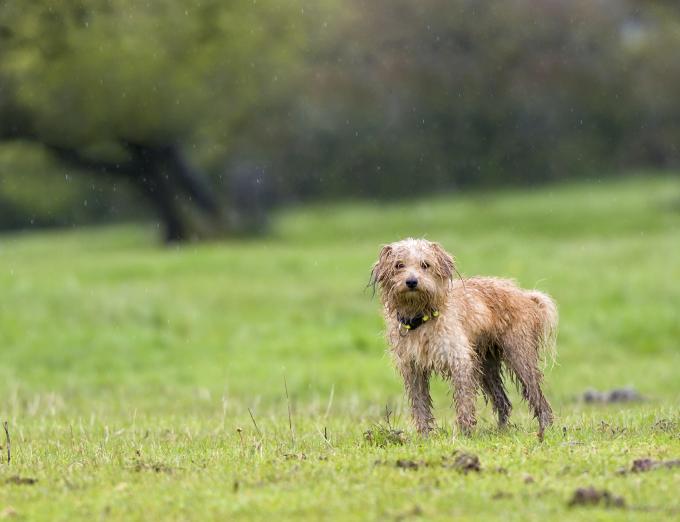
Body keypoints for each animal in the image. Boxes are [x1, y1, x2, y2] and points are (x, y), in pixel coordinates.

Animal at [372, 238, 556, 436]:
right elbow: (420, 404)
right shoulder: (413, 368)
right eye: (399, 265)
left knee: (538, 398)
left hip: (520, 358)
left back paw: (545, 428)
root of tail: (526, 296)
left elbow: (463, 400)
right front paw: (425, 436)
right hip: (486, 365)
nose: (412, 281)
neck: (422, 316)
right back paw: (501, 431)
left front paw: (465, 433)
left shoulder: (460, 361)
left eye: (425, 265)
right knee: (503, 401)